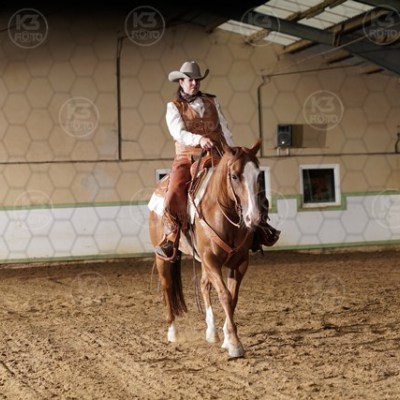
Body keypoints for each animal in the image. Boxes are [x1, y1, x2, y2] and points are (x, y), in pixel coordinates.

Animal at [148, 140, 263, 358]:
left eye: (259, 175)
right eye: (234, 176)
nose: (254, 218)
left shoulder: (240, 262)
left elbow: (232, 298)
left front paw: (227, 337)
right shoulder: (211, 260)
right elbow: (225, 295)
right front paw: (235, 344)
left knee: (203, 285)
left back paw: (211, 331)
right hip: (164, 257)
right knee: (167, 286)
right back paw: (172, 332)